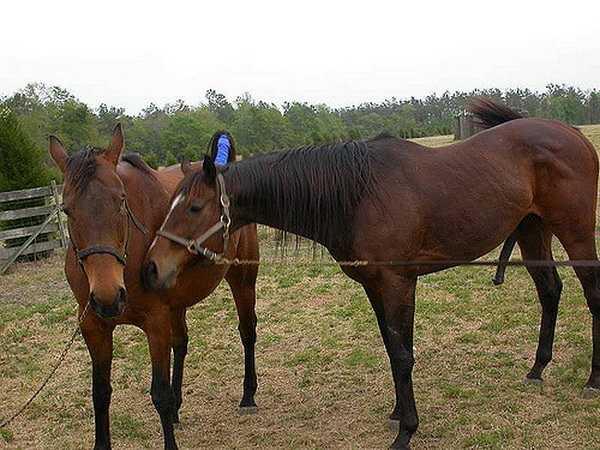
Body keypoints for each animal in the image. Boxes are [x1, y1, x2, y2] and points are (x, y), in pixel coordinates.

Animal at [48, 125, 258, 450]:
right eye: (67, 209)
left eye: (121, 200)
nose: (108, 296)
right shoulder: (94, 327)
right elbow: (100, 393)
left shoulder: (155, 322)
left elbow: (159, 393)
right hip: (177, 304)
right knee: (181, 343)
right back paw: (178, 410)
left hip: (243, 279)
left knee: (247, 331)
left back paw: (248, 396)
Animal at [145, 101, 600, 450]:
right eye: (171, 203)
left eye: (194, 208)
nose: (151, 267)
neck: (358, 194)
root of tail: (572, 134)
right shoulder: (376, 287)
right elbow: (392, 347)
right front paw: (399, 411)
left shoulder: (399, 283)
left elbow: (402, 353)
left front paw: (406, 431)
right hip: (531, 230)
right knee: (550, 292)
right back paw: (537, 369)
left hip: (574, 233)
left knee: (592, 296)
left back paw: (593, 379)